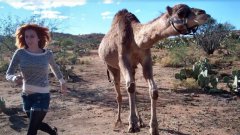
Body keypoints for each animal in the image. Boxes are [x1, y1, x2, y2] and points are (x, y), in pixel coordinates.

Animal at [98, 3, 209, 134]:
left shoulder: (146, 58)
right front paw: (132, 124)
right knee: (119, 92)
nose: (204, 13)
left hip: (133, 67)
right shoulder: (123, 60)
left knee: (133, 88)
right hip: (111, 66)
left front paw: (153, 128)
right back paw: (118, 120)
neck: (135, 39)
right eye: (181, 12)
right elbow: (130, 87)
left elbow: (153, 91)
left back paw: (140, 121)